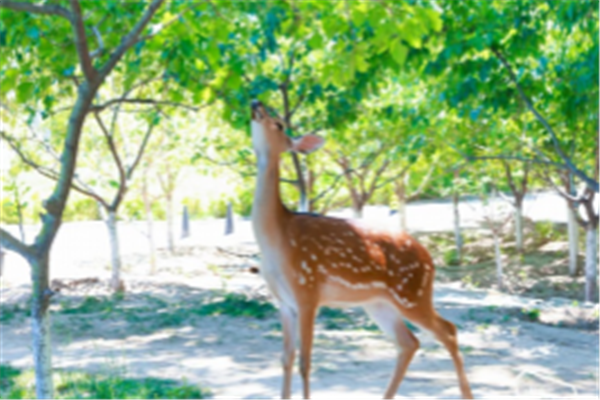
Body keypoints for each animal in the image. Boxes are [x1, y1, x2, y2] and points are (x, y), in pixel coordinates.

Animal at [250, 99, 473, 399]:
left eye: (279, 124)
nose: (255, 103)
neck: (277, 240)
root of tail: (431, 260)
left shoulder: (307, 291)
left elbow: (306, 362)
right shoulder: (283, 302)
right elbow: (286, 358)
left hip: (412, 294)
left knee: (447, 330)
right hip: (379, 303)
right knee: (409, 342)